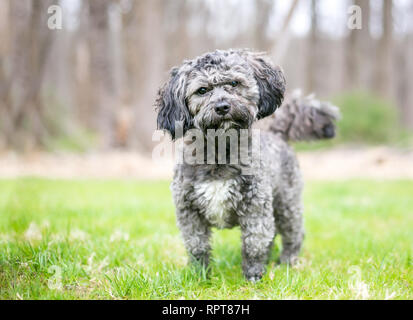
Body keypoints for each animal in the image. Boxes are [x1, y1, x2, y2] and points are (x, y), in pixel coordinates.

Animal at [154, 48, 338, 282]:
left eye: (234, 83)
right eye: (202, 90)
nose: (222, 106)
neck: (220, 151)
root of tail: (277, 133)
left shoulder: (255, 207)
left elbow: (254, 242)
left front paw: (253, 275)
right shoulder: (188, 212)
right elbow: (197, 246)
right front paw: (200, 276)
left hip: (287, 202)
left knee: (293, 233)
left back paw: (287, 261)